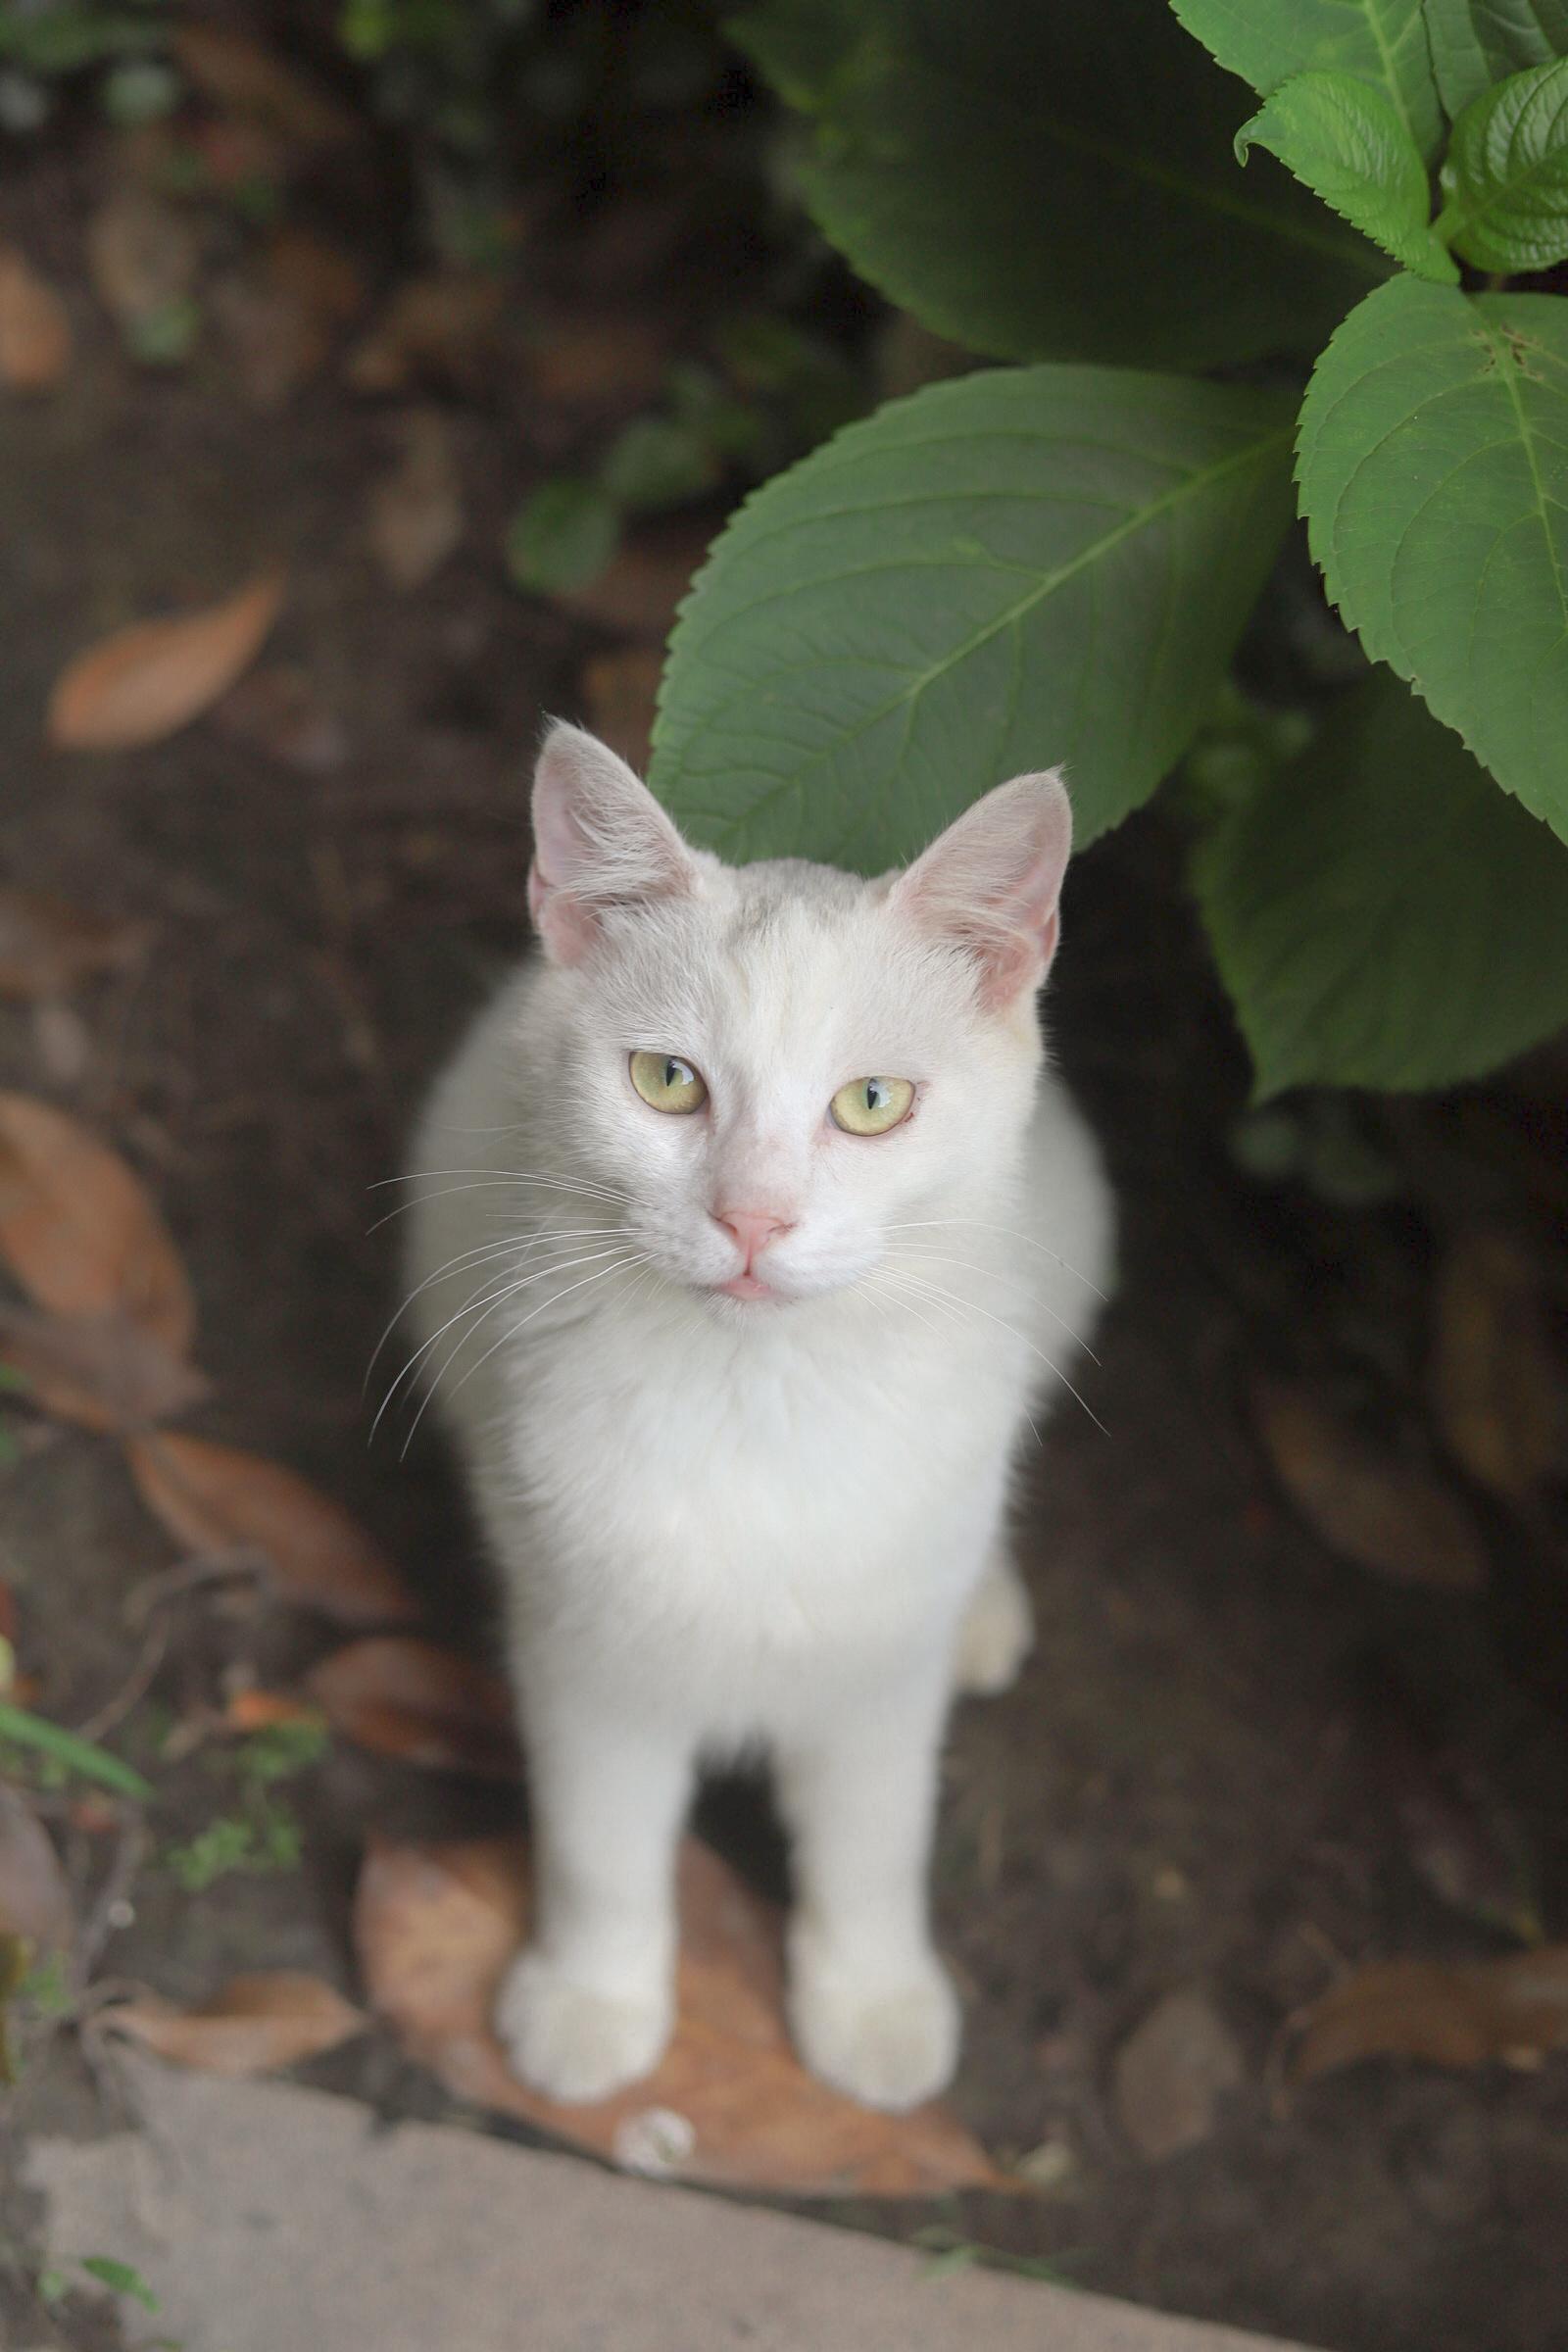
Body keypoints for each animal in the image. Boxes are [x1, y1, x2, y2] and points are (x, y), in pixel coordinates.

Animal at [404, 719, 1114, 2117]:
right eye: (665, 1079)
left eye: (874, 1103)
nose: (751, 1218)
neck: (760, 1395)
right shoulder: (588, 1658)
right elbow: (600, 1845)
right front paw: (593, 1999)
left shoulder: (874, 1680)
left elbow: (873, 1843)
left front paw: (874, 2004)